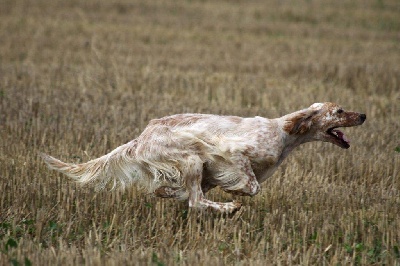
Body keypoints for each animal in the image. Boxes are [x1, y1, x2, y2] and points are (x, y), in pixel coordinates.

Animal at [43, 103, 366, 213]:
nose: (363, 115)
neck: (284, 133)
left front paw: (168, 192)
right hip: (191, 159)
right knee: (197, 201)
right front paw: (236, 192)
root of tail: (141, 137)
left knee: (189, 196)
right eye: (338, 110)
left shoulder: (212, 173)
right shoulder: (232, 153)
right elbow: (251, 185)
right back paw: (229, 208)